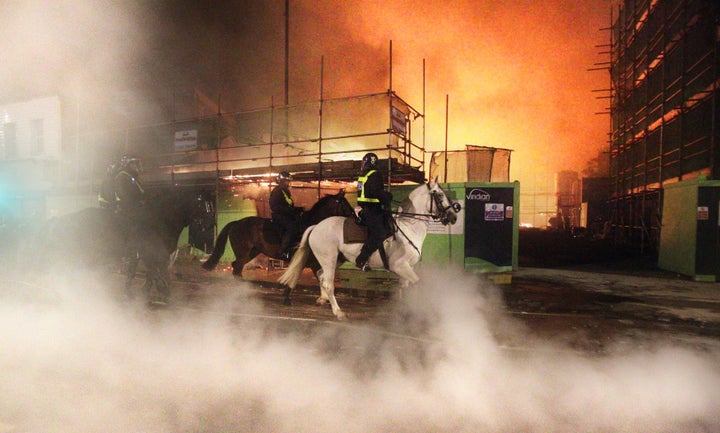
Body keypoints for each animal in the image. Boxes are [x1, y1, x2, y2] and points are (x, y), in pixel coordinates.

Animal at [202, 189, 354, 304]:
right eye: (344, 204)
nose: (355, 217)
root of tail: (236, 223)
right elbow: (294, 277)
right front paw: (287, 298)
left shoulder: (312, 262)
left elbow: (321, 278)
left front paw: (324, 299)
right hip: (243, 252)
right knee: (237, 268)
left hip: (251, 252)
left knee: (236, 267)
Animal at [278, 177, 458, 318]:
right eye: (439, 194)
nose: (453, 216)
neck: (409, 227)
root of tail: (316, 226)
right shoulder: (400, 266)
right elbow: (418, 284)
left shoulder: (407, 268)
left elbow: (405, 288)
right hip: (329, 259)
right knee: (328, 283)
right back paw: (338, 312)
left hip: (336, 260)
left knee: (322, 276)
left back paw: (324, 301)